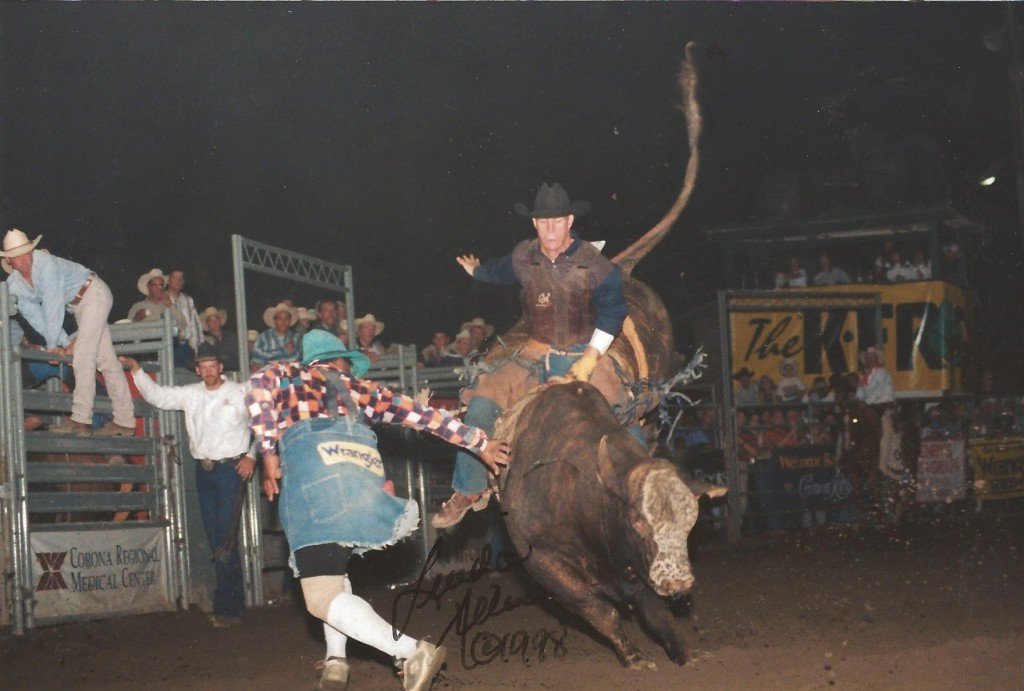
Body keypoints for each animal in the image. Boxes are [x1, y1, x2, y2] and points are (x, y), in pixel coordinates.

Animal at [497, 381, 724, 669]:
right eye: (637, 521)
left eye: (690, 524)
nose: (677, 583)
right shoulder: (543, 559)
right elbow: (600, 610)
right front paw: (635, 657)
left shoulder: (639, 564)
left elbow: (657, 613)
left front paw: (685, 654)